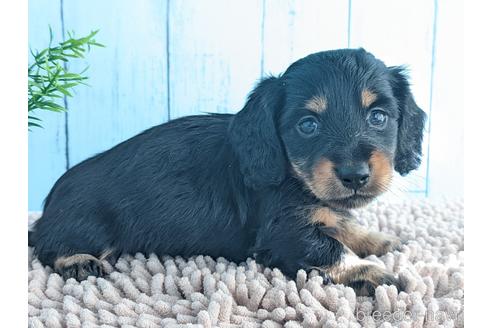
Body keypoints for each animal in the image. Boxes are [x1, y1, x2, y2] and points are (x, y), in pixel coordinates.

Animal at [28, 49, 424, 298]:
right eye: (308, 125)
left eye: (378, 117)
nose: (355, 175)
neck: (292, 175)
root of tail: (49, 209)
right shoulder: (284, 232)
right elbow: (329, 247)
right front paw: (373, 272)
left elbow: (341, 224)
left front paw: (379, 240)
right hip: (90, 226)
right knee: (48, 247)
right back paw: (78, 261)